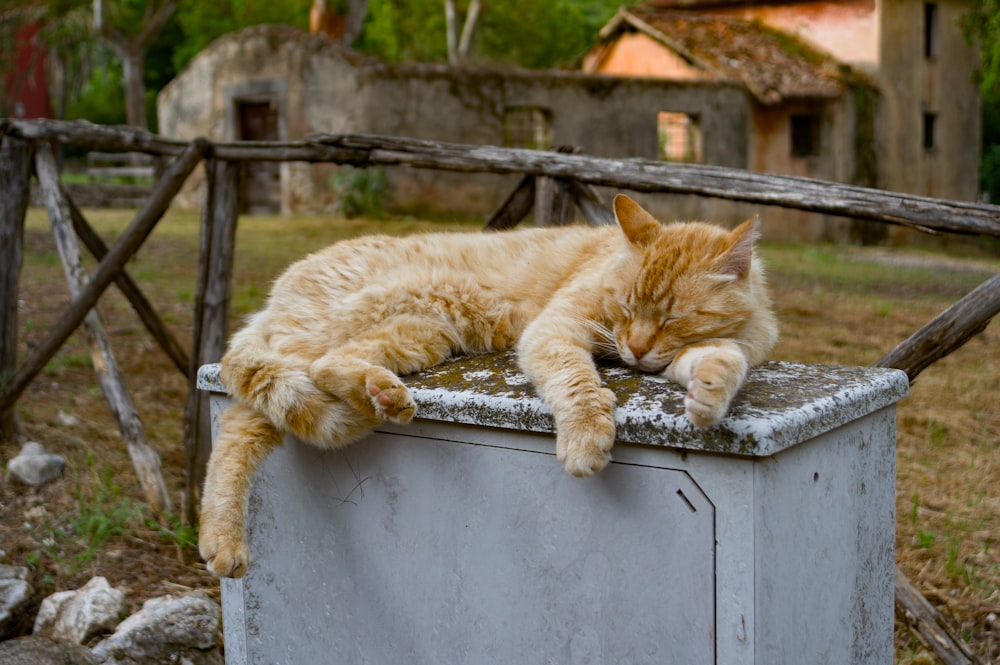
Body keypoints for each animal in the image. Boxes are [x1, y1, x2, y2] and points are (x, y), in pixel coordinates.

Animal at [201, 193, 780, 576]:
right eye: (625, 307)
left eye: (672, 319)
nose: (634, 349)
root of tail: (277, 292)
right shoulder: (556, 329)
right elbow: (577, 381)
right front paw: (586, 436)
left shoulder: (707, 349)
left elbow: (724, 357)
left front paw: (709, 391)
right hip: (326, 335)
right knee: (240, 424)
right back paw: (222, 543)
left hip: (420, 334)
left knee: (326, 370)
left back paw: (380, 394)